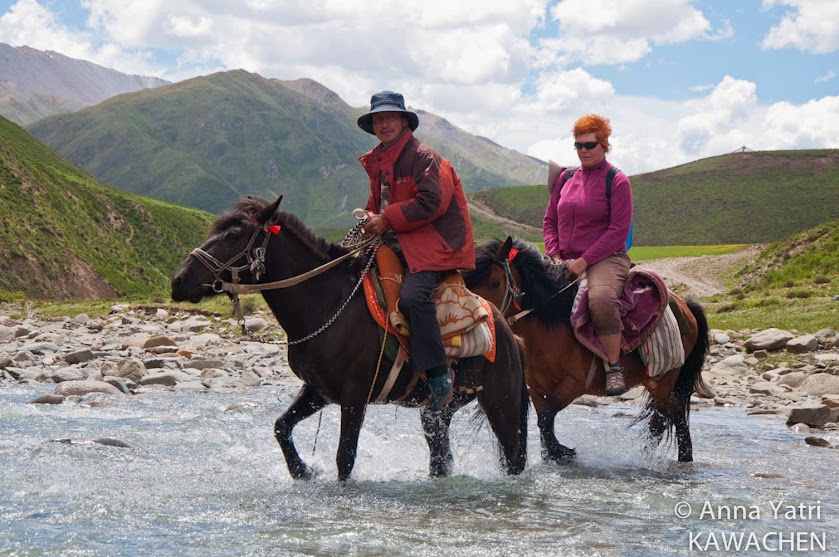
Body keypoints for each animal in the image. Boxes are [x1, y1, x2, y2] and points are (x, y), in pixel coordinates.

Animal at [169, 195, 532, 478]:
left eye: (234, 235)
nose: (178, 281)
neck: (327, 305)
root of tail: (508, 333)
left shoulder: (355, 396)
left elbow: (345, 458)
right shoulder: (318, 390)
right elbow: (281, 427)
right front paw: (303, 472)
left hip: (500, 402)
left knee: (513, 458)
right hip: (438, 411)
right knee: (441, 459)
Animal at [462, 237, 712, 462]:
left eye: (495, 282)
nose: (482, 319)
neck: (549, 327)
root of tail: (685, 305)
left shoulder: (573, 385)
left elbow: (546, 419)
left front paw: (562, 451)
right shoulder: (536, 390)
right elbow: (544, 423)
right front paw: (554, 454)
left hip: (664, 379)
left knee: (661, 419)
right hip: (654, 381)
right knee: (675, 410)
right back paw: (682, 456)